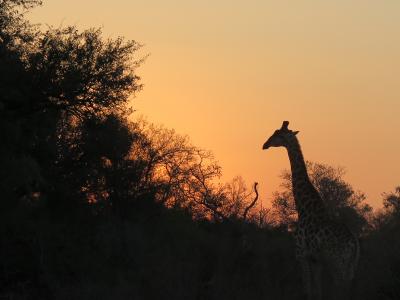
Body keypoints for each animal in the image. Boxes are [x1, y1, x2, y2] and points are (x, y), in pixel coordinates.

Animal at [262, 120, 360, 298]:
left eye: (278, 134)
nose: (264, 145)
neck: (303, 208)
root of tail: (354, 244)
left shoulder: (302, 255)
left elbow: (307, 290)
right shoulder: (316, 260)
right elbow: (317, 291)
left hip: (337, 261)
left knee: (340, 288)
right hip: (351, 266)